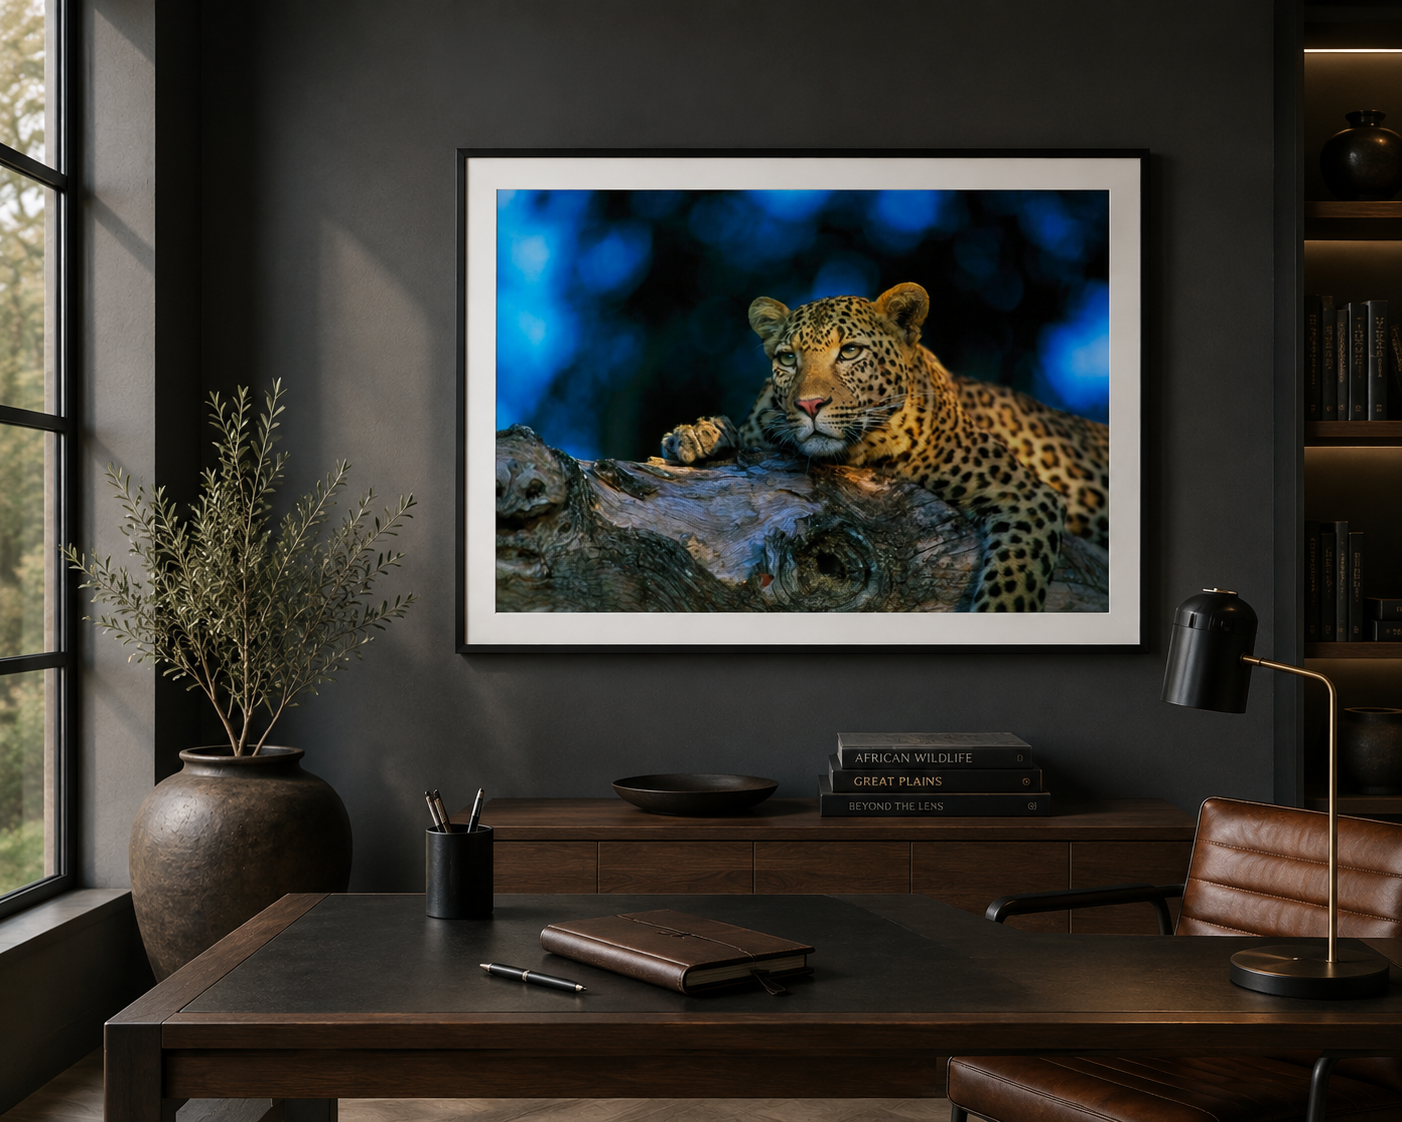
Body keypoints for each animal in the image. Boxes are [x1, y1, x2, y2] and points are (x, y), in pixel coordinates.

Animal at [660, 282, 1110, 612]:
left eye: (850, 351)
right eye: (787, 359)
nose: (809, 405)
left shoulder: (1026, 495)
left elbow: (1011, 588)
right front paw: (699, 436)